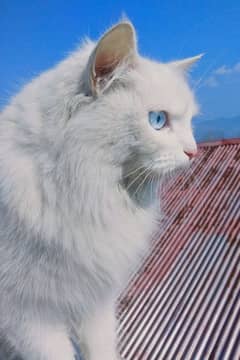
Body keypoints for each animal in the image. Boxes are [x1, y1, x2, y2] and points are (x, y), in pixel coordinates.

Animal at [0, 21, 201, 360]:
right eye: (157, 120)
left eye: (190, 123)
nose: (194, 152)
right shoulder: (27, 318)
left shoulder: (94, 302)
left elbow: (101, 348)